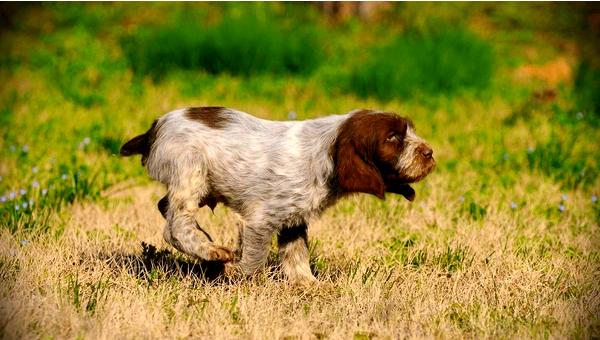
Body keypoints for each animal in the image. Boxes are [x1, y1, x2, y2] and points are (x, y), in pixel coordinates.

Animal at [119, 107, 434, 282]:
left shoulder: (293, 219)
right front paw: (241, 277)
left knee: (166, 207)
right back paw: (211, 250)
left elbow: (297, 255)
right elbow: (254, 258)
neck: (325, 152)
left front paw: (309, 286)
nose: (430, 153)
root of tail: (154, 128)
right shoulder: (261, 220)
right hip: (190, 170)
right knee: (174, 226)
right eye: (392, 138)